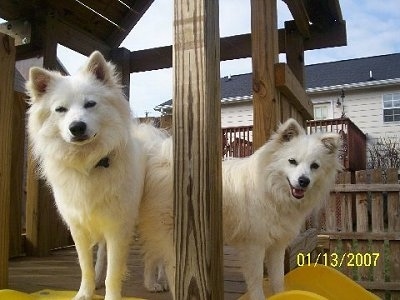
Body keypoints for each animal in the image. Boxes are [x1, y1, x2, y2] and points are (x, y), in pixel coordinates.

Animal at [25, 51, 146, 300]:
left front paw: (112, 295)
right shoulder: (79, 229)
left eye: (90, 104)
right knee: (102, 255)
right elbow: (86, 266)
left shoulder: (118, 228)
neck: (90, 164)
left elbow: (114, 272)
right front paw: (85, 293)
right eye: (60, 109)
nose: (77, 127)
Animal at [137, 118, 340, 298]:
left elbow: (277, 279)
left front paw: (282, 295)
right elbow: (256, 281)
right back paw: (155, 283)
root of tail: (157, 155)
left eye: (315, 166)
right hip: (169, 228)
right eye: (292, 161)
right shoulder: (254, 246)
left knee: (155, 255)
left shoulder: (277, 245)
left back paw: (156, 282)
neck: (271, 191)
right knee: (160, 260)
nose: (303, 181)